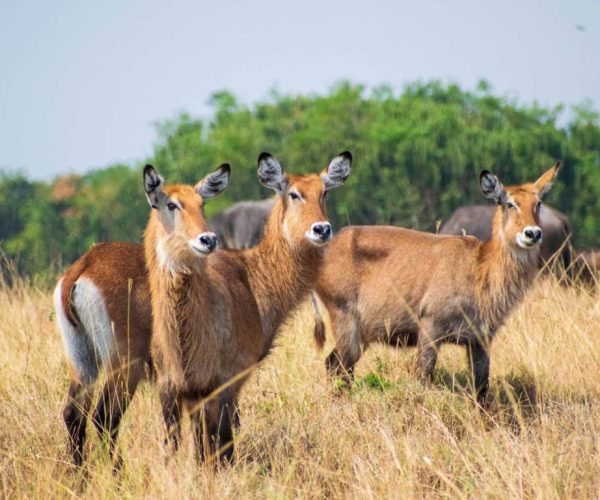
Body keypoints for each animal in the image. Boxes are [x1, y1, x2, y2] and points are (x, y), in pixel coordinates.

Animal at [55, 152, 352, 464]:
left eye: (324, 192)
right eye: (294, 194)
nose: (322, 229)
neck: (251, 275)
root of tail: (83, 266)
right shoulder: (230, 376)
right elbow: (223, 436)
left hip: (83, 362)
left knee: (74, 414)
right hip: (124, 366)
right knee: (104, 417)